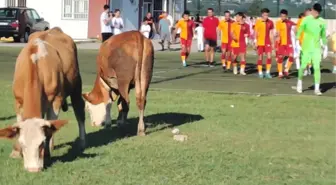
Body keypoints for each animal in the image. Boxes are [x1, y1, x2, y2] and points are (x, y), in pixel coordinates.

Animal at [0, 27, 86, 172]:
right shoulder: (18, 101)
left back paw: (81, 142)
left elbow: (49, 129)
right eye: (22, 144)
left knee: (79, 110)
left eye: (40, 143)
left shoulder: (56, 99)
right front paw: (16, 152)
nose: (33, 169)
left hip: (76, 84)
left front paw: (46, 153)